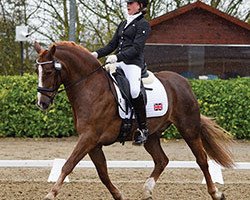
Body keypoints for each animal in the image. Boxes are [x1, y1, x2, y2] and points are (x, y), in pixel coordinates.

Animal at [34, 41, 233, 200]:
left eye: (49, 71)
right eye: (37, 71)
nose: (42, 103)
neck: (91, 87)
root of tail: (183, 81)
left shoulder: (89, 138)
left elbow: (68, 165)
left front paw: (50, 194)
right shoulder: (93, 143)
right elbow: (102, 173)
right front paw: (119, 195)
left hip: (188, 128)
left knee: (202, 160)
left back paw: (216, 193)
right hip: (151, 136)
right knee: (162, 160)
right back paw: (147, 191)